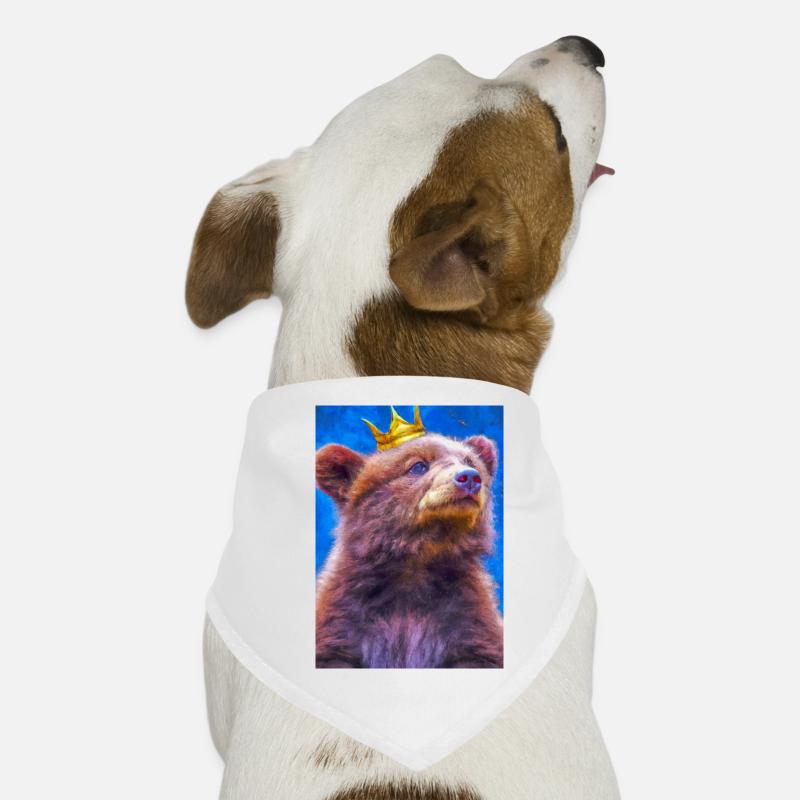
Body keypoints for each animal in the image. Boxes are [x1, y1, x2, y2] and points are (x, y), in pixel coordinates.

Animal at [315, 431, 503, 668]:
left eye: (470, 461)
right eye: (418, 466)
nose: (469, 477)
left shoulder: (467, 614)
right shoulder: (344, 614)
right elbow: (334, 651)